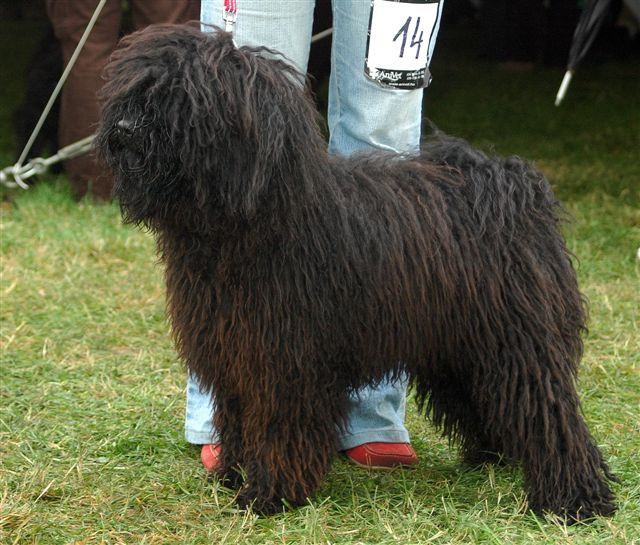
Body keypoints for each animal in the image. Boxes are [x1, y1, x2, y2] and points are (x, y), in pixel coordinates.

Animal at [97, 24, 616, 520]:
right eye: (137, 88)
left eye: (184, 97)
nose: (123, 126)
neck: (260, 219)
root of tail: (509, 185)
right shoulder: (234, 352)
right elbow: (239, 419)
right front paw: (232, 472)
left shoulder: (286, 360)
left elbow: (280, 428)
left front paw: (269, 494)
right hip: (459, 348)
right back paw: (494, 457)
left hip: (516, 340)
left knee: (551, 413)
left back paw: (576, 499)